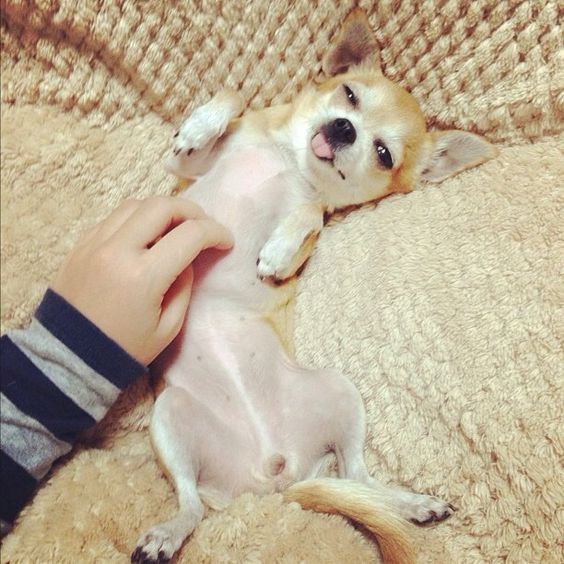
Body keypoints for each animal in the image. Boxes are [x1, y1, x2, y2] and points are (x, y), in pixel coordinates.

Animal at [131, 9, 494, 564]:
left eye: (383, 153)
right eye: (348, 95)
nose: (344, 128)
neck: (290, 159)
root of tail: (276, 475)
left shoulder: (312, 215)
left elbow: (310, 215)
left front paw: (278, 248)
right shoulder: (184, 168)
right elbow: (232, 97)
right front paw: (198, 125)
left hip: (338, 394)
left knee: (355, 475)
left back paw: (410, 503)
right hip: (171, 419)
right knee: (192, 501)